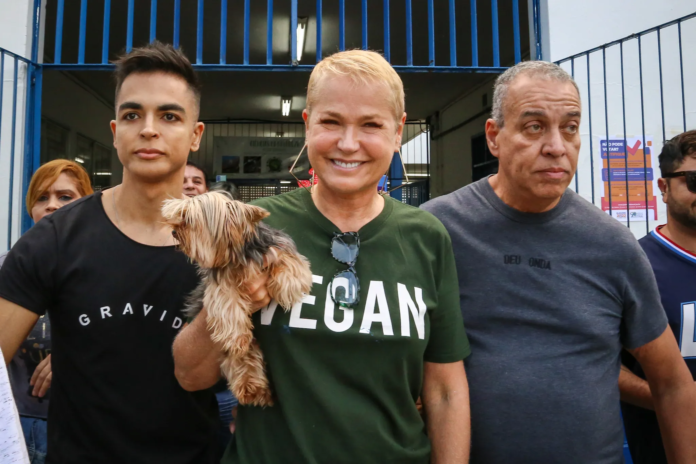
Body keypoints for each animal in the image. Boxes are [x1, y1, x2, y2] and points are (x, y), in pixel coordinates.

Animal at [162, 191, 312, 406]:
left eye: (188, 220)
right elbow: (227, 306)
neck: (238, 255)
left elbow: (290, 262)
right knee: (241, 356)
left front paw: (288, 285)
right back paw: (251, 386)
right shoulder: (220, 284)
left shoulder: (276, 246)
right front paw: (236, 337)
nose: (174, 232)